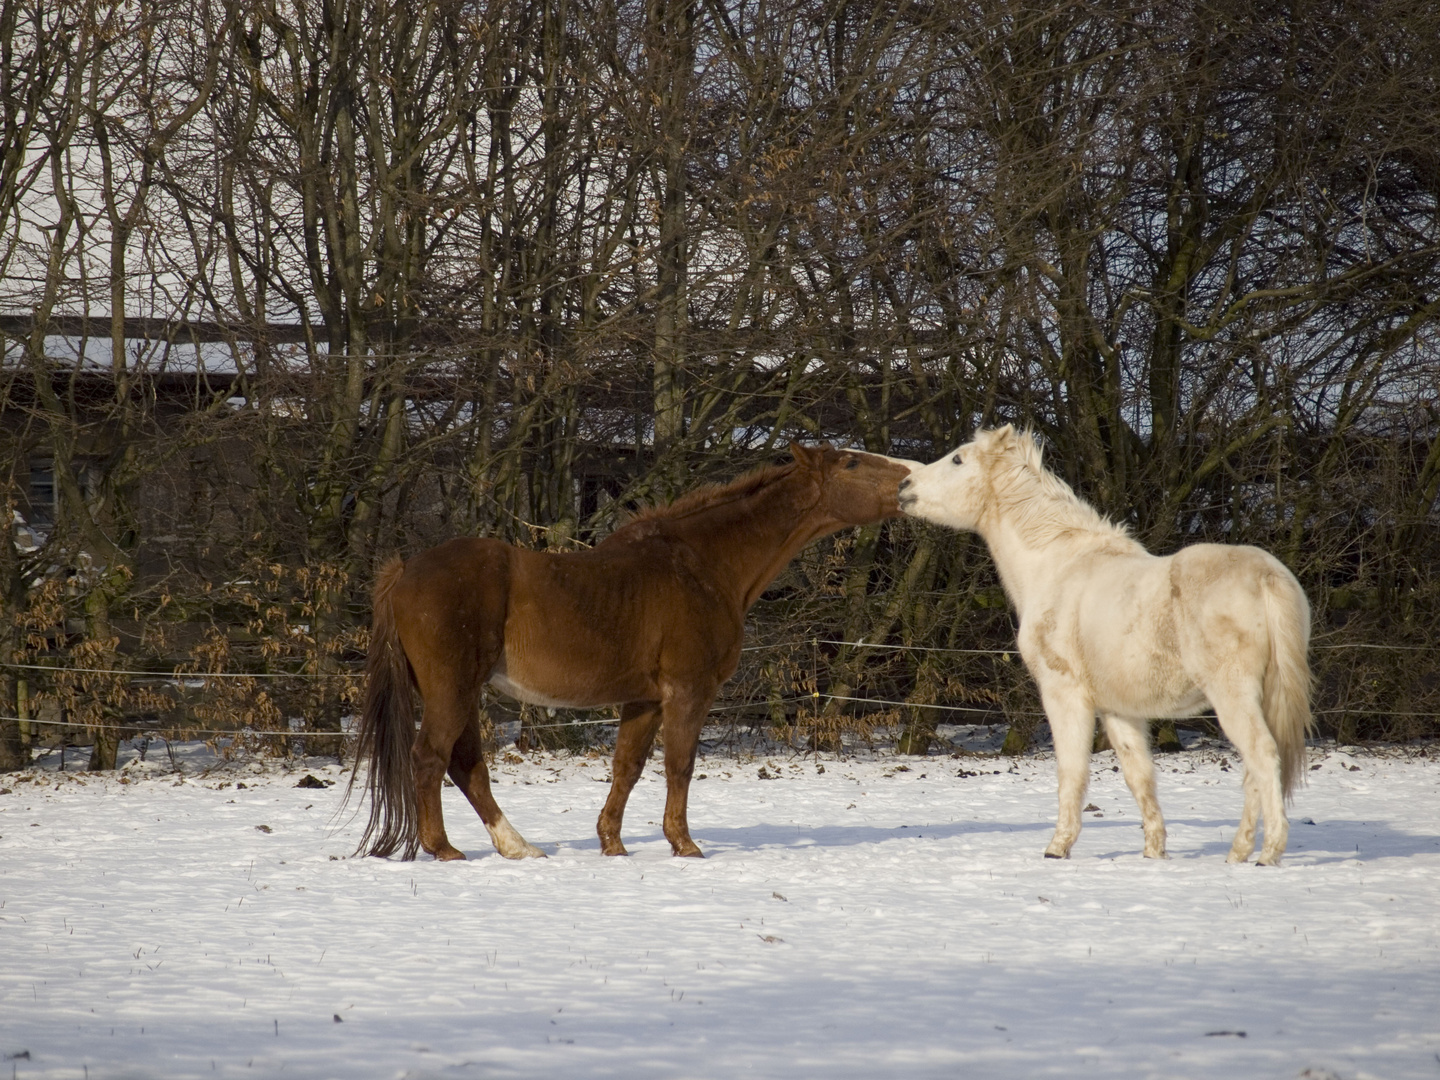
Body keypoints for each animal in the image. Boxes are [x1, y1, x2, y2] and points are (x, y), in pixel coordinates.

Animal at [348, 440, 910, 864]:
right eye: (852, 463)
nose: (909, 477)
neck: (702, 564)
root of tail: (406, 570)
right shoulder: (688, 690)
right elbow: (679, 764)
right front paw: (684, 845)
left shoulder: (644, 700)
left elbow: (628, 767)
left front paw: (612, 844)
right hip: (451, 688)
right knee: (431, 757)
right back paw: (443, 848)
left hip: (461, 691)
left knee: (466, 766)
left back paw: (518, 847)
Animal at [904, 426, 1313, 869]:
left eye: (958, 460)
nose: (904, 486)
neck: (1057, 565)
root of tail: (1267, 576)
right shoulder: (1120, 709)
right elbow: (1140, 776)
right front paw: (1153, 852)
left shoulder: (1064, 694)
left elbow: (1072, 771)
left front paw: (1058, 847)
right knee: (1254, 769)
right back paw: (1238, 853)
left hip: (1233, 695)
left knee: (1263, 754)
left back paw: (1268, 853)